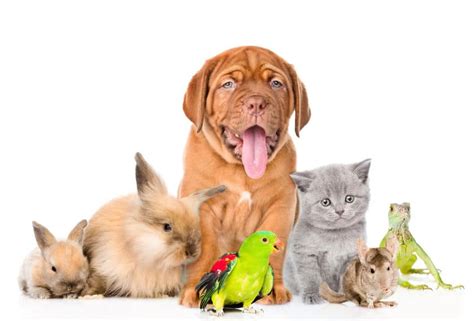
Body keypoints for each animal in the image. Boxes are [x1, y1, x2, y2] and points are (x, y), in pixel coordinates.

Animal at [180, 45, 310, 304]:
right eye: (228, 84)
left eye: (276, 83)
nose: (257, 103)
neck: (241, 171)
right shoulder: (202, 206)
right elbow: (204, 250)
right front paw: (196, 289)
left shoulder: (281, 205)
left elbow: (274, 248)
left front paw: (271, 289)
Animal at [284, 159, 372, 304]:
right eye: (325, 202)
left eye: (349, 198)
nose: (340, 210)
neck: (335, 235)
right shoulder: (304, 252)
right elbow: (309, 276)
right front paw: (312, 295)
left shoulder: (352, 256)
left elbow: (347, 276)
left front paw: (346, 294)